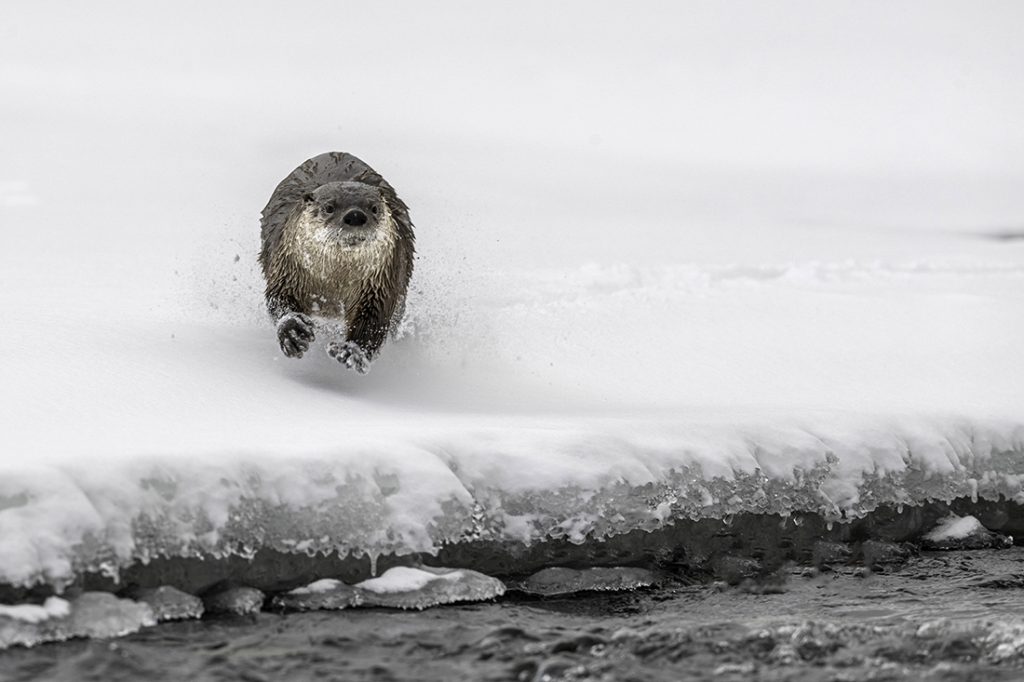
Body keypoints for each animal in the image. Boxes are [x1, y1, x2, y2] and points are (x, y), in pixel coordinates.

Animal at [260, 152, 415, 372]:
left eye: (374, 208)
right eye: (329, 207)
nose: (356, 215)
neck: (333, 284)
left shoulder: (381, 283)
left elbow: (374, 321)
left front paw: (352, 351)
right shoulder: (286, 268)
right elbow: (279, 299)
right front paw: (293, 332)